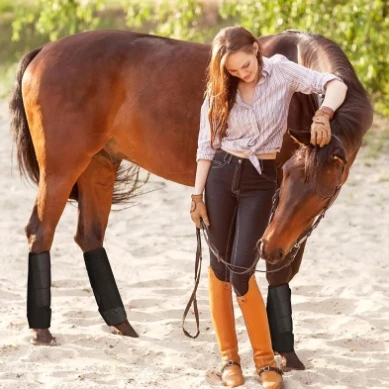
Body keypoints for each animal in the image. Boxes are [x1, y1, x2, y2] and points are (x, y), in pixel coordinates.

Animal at [9, 28, 372, 370]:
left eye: (324, 192)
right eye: (286, 177)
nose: (269, 246)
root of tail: (43, 51)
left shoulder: (291, 227)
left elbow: (283, 268)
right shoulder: (275, 212)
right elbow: (275, 271)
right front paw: (285, 353)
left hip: (99, 165)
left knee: (89, 236)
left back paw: (120, 323)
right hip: (61, 171)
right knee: (40, 232)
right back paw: (42, 330)